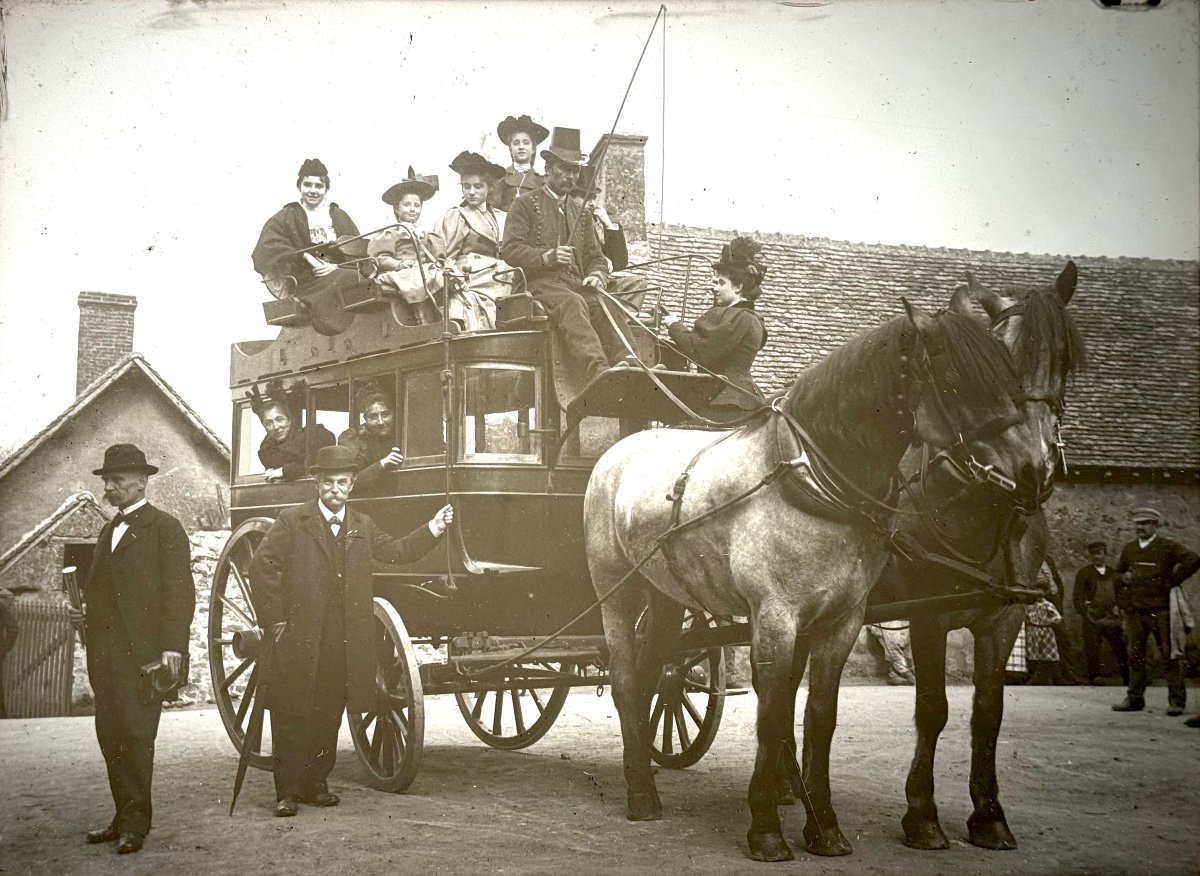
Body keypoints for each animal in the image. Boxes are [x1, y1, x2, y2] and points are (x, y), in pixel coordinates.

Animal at [585, 298, 1046, 854]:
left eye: (1011, 375)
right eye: (956, 381)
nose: (1032, 474)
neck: (812, 482)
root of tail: (620, 447)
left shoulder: (845, 621)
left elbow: (821, 716)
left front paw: (824, 824)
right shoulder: (783, 618)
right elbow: (775, 715)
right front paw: (766, 826)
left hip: (667, 595)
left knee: (655, 673)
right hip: (618, 593)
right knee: (625, 678)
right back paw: (642, 793)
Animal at [883, 259, 1089, 844]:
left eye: (1065, 358)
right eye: (1000, 358)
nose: (1034, 468)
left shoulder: (1005, 619)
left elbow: (987, 712)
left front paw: (989, 813)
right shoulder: (925, 616)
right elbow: (932, 707)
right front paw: (922, 813)